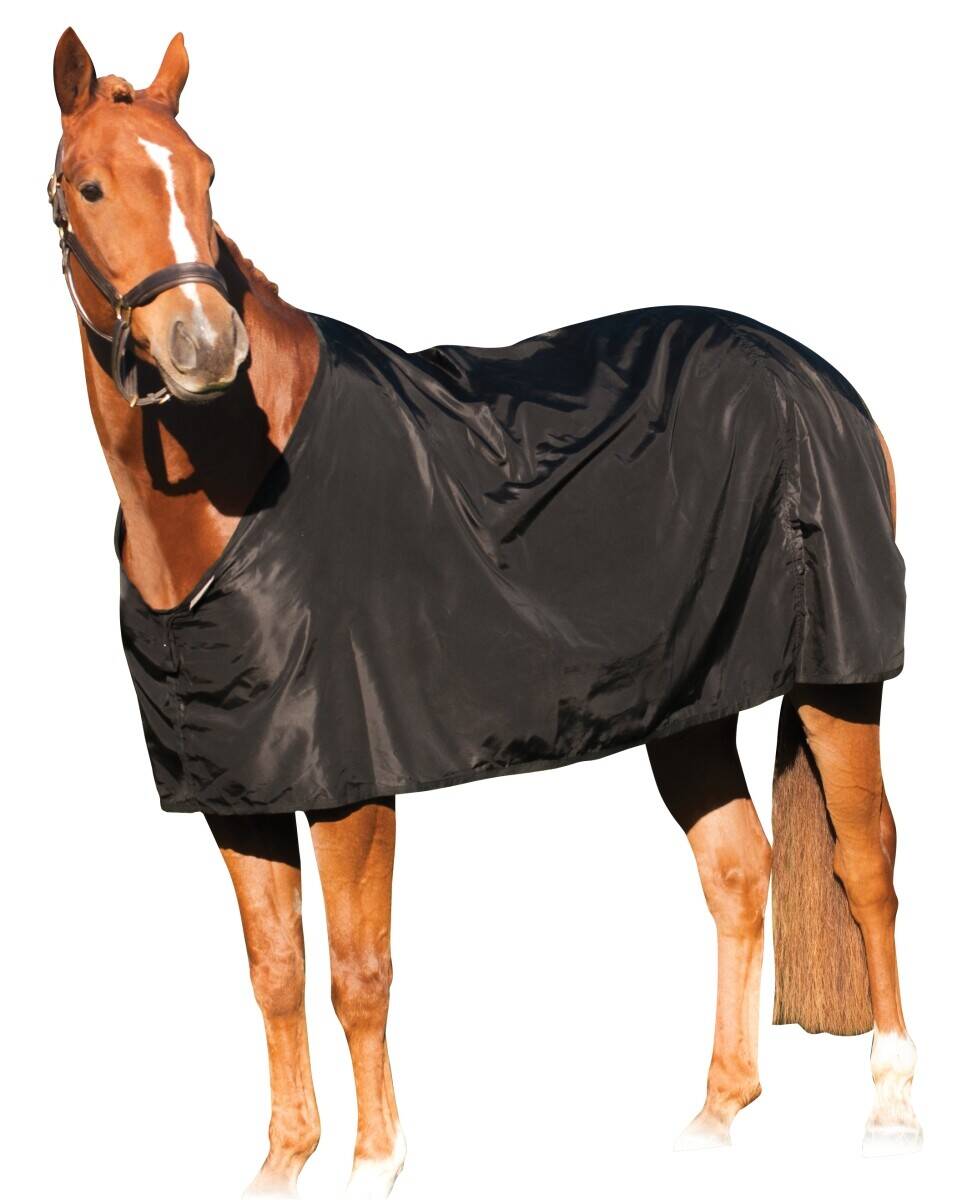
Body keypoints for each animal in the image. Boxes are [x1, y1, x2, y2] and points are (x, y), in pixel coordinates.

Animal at [50, 27, 921, 1198]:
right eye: (91, 185)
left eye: (204, 176)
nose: (203, 344)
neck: (236, 488)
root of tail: (816, 376)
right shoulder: (238, 785)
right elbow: (276, 971)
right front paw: (283, 1163)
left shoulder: (350, 779)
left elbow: (357, 972)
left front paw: (375, 1164)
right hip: (687, 704)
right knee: (740, 871)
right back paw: (714, 1114)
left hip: (841, 672)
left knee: (863, 861)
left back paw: (891, 1108)